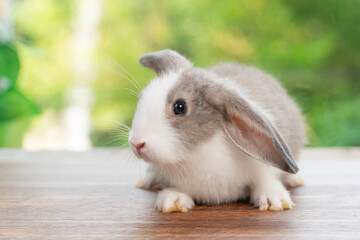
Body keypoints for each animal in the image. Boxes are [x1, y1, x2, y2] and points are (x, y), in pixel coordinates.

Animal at [128, 48, 306, 212]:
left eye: (180, 107)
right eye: (142, 96)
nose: (136, 143)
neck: (198, 151)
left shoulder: (262, 168)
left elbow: (264, 179)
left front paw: (273, 200)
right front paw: (173, 199)